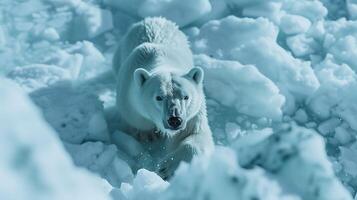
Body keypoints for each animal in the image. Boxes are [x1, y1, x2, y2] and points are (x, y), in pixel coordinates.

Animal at [112, 17, 211, 180]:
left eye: (186, 97)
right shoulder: (130, 104)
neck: (161, 60)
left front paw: (166, 167)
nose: (175, 120)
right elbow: (139, 124)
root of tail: (152, 19)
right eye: (159, 97)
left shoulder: (193, 115)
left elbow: (196, 136)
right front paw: (148, 135)